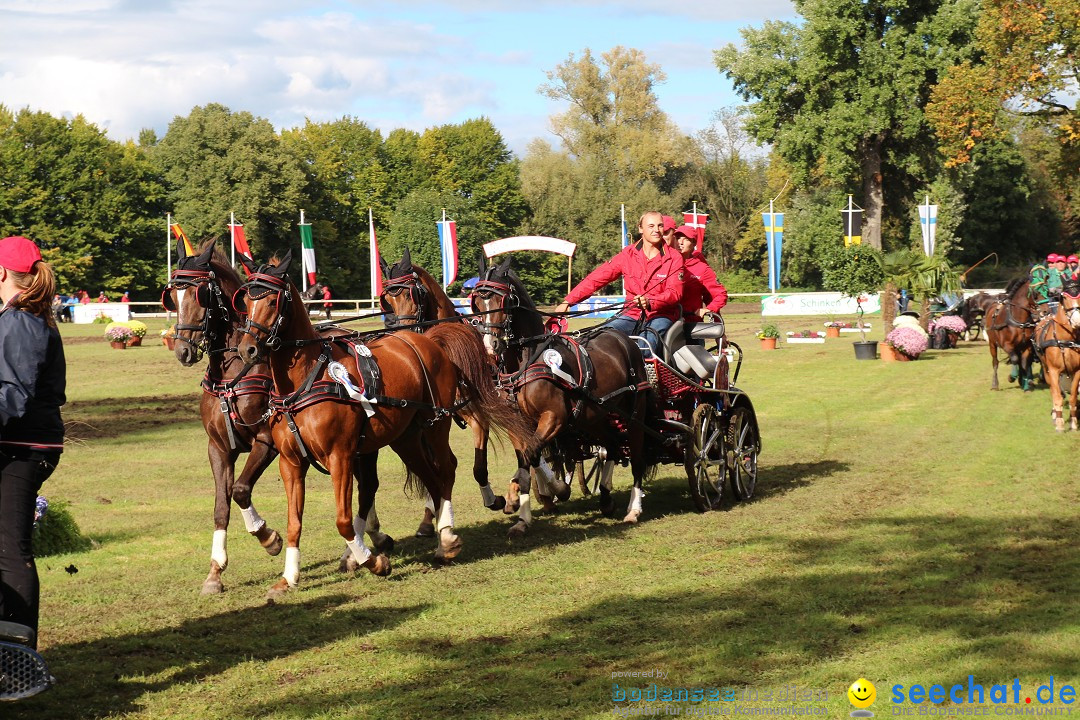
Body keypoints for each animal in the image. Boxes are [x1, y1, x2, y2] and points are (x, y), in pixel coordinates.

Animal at [234, 253, 503, 595]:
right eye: (245, 300)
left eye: (271, 300)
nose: (247, 349)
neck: (305, 379)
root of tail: (428, 340)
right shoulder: (290, 463)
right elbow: (294, 522)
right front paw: (289, 577)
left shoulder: (341, 457)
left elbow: (343, 519)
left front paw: (372, 561)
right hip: (406, 439)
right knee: (431, 477)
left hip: (435, 425)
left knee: (446, 470)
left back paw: (447, 536)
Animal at [378, 250, 537, 533]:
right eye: (389, 299)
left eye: (411, 294)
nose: (403, 334)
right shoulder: (432, 418)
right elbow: (436, 467)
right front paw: (429, 517)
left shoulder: (478, 417)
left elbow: (478, 467)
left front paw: (493, 499)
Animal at [468, 253, 652, 535]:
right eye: (477, 303)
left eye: (504, 301)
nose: (490, 345)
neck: (526, 361)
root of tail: (624, 338)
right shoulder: (517, 424)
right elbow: (527, 459)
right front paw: (523, 516)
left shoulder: (554, 418)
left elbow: (531, 456)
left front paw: (556, 490)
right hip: (595, 416)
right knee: (610, 445)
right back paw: (606, 497)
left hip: (634, 414)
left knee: (637, 456)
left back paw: (633, 509)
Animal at [1032, 278, 1080, 431]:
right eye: (1064, 297)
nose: (1078, 320)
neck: (1065, 339)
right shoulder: (1053, 370)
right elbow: (1057, 394)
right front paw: (1059, 423)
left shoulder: (1077, 371)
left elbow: (1073, 397)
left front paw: (1073, 421)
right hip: (1046, 368)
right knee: (1053, 390)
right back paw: (1055, 414)